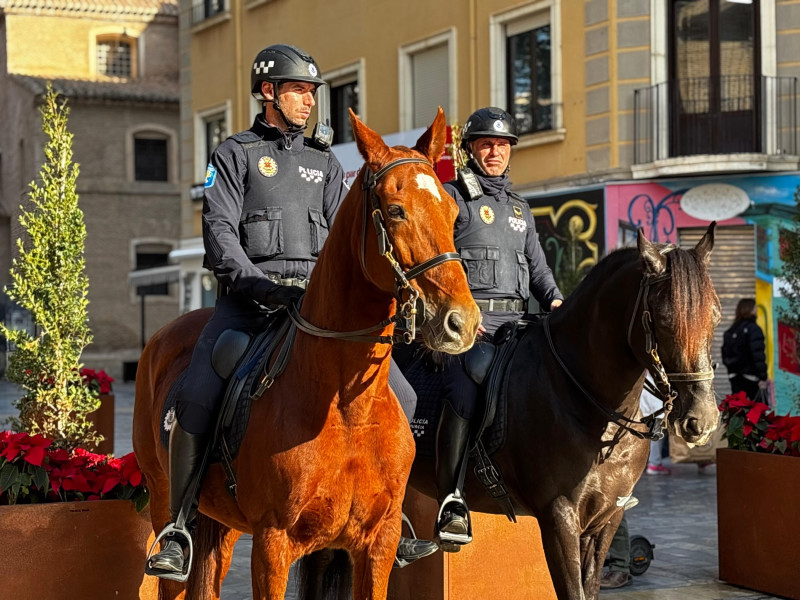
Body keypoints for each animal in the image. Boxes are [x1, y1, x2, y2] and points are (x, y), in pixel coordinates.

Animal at [134, 109, 478, 600]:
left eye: (451, 213)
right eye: (396, 211)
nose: (462, 322)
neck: (345, 406)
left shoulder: (375, 544)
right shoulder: (273, 546)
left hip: (222, 526)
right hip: (164, 499)